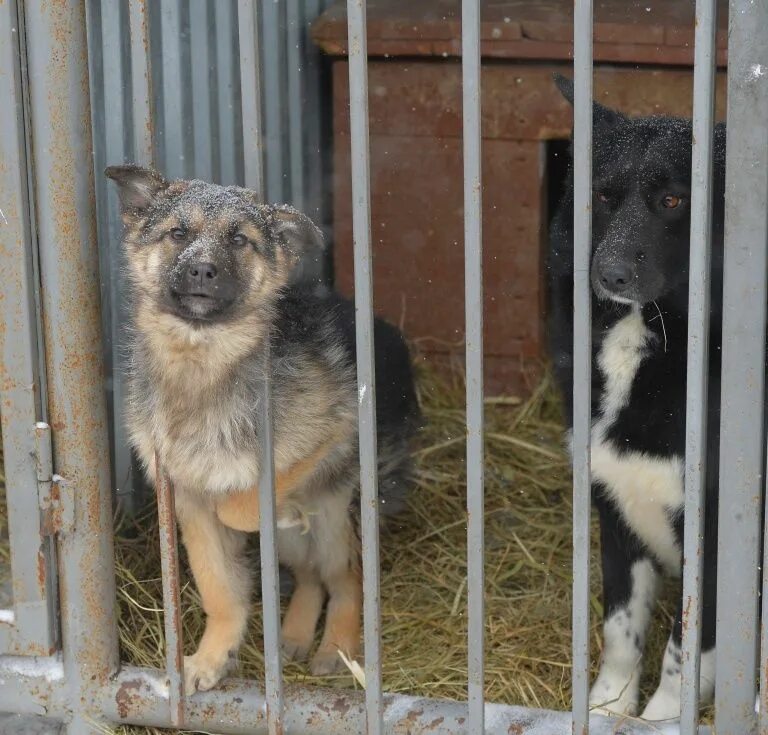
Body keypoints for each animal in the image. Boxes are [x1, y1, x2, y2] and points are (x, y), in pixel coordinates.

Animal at [105, 167, 420, 696]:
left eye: (240, 240)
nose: (202, 270)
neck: (203, 361)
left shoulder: (330, 434)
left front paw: (279, 507)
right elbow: (218, 589)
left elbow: (241, 504)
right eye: (178, 233)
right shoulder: (188, 500)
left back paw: (336, 647)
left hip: (337, 516)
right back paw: (293, 635)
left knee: (346, 576)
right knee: (312, 576)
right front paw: (214, 655)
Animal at [544, 75, 728, 720]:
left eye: (674, 201)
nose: (611, 275)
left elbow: (684, 645)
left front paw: (664, 718)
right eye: (603, 196)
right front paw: (607, 709)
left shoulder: (715, 538)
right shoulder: (616, 509)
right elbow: (621, 629)